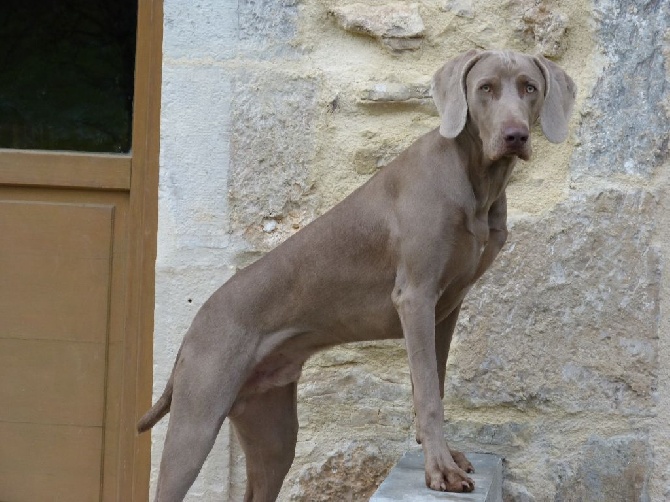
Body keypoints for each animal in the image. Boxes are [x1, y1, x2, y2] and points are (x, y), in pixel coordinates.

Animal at [140, 49, 576, 500]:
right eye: (485, 88)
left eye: (529, 87)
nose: (515, 136)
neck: (475, 179)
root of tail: (192, 329)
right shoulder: (415, 297)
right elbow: (428, 394)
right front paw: (440, 470)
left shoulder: (445, 308)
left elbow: (433, 381)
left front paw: (445, 455)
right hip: (198, 417)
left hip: (272, 429)